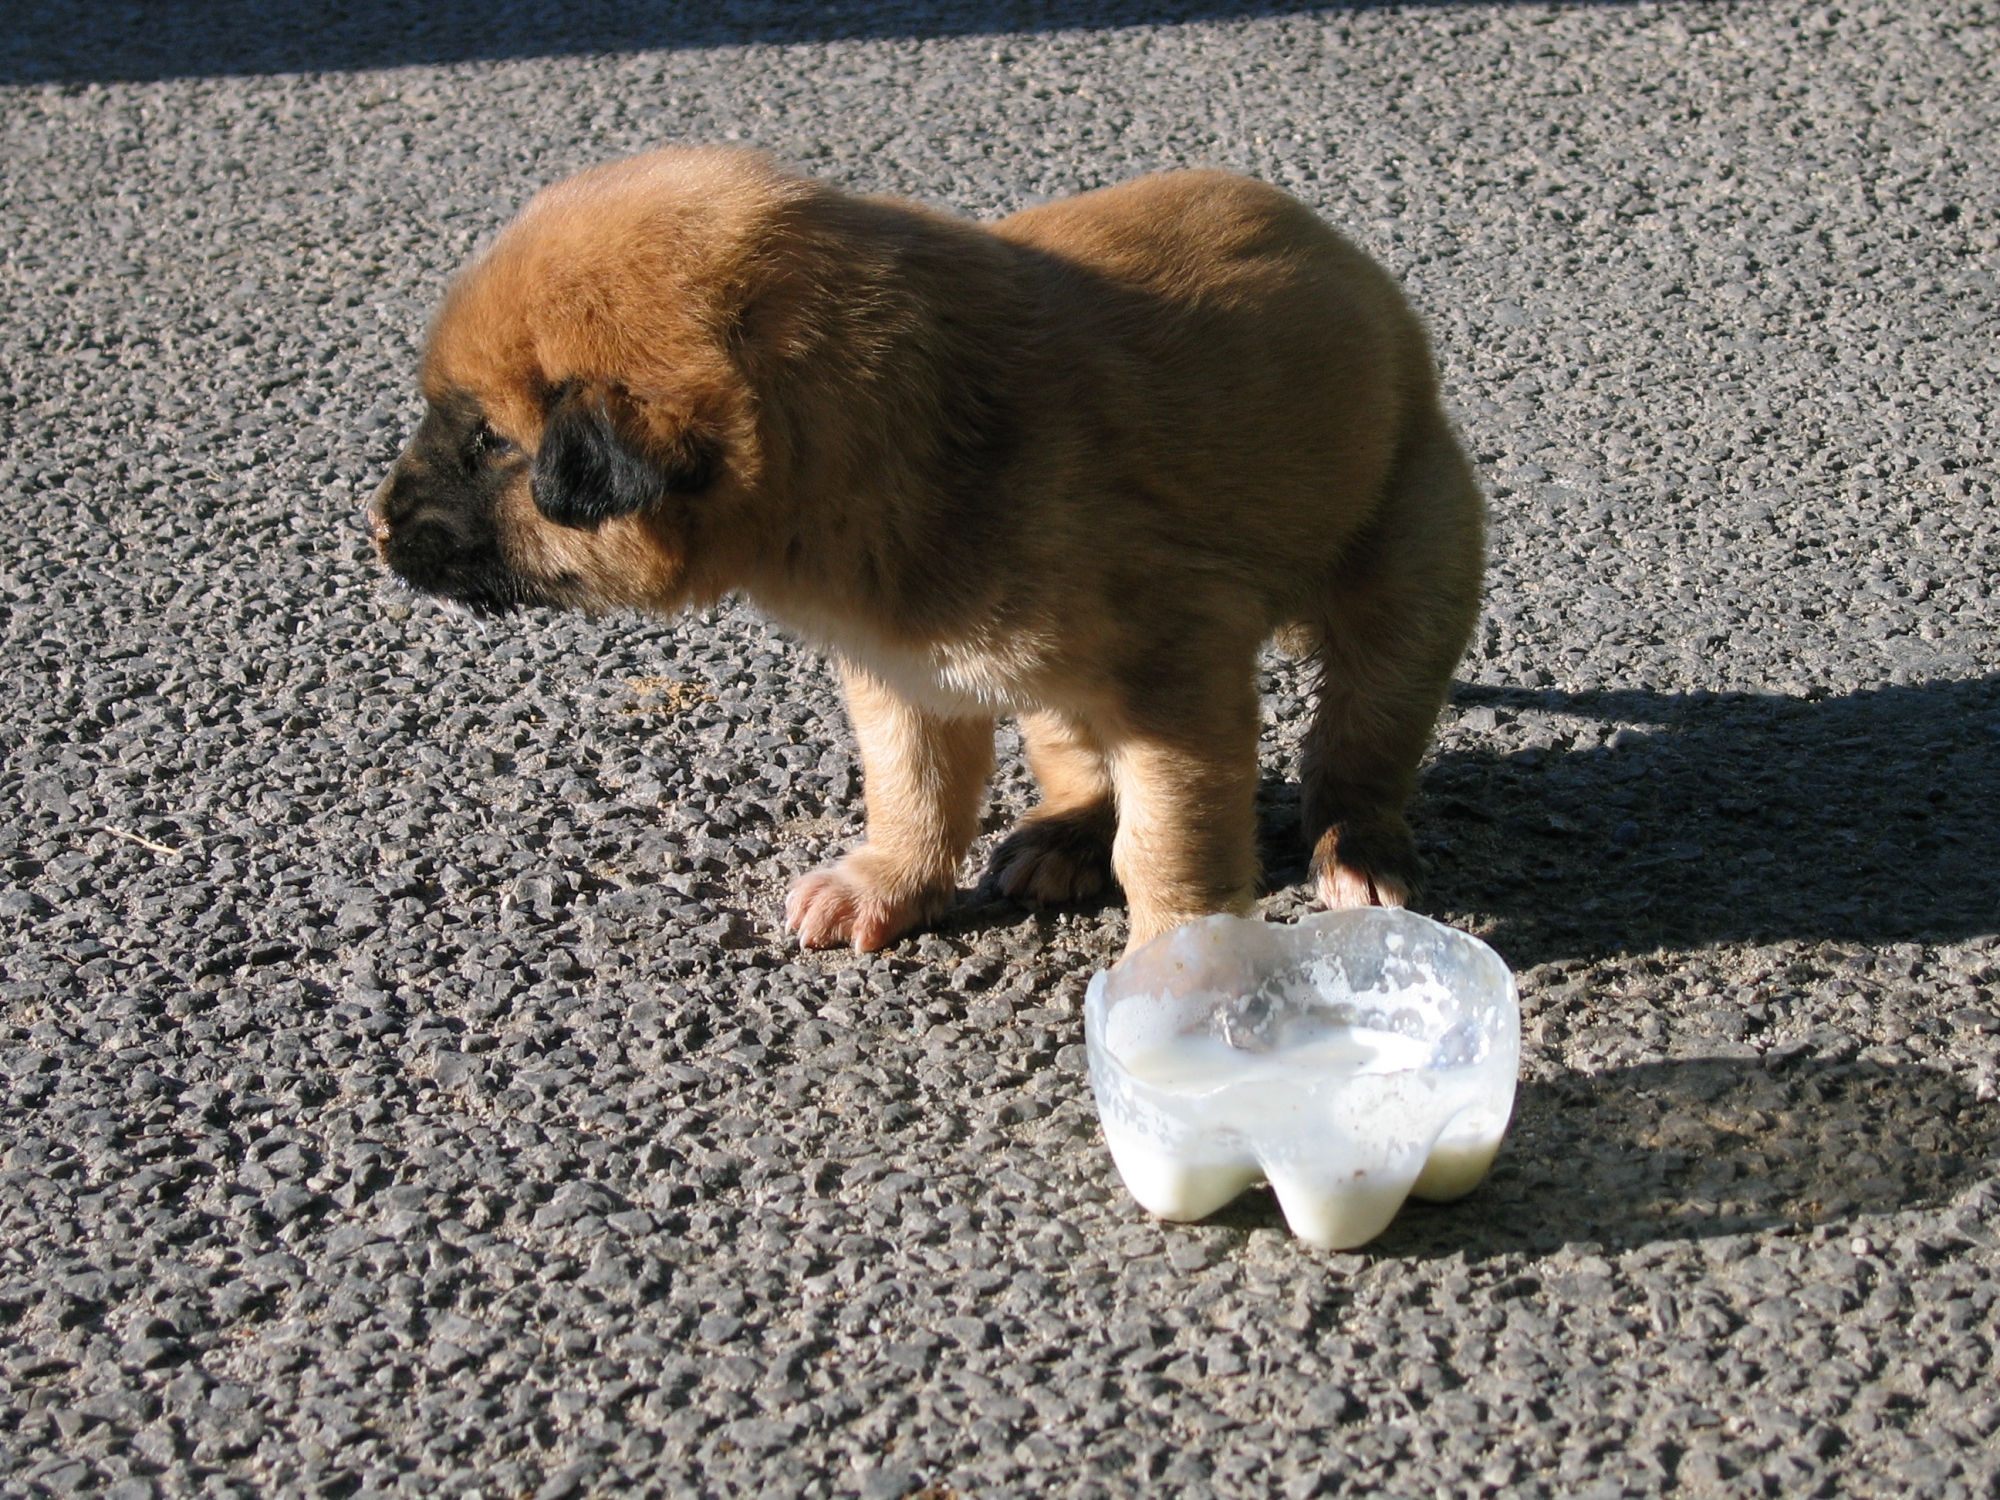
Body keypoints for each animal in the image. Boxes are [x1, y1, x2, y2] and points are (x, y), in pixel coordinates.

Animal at [372, 147, 1488, 956]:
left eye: (487, 443)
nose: (377, 530)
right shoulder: (901, 674)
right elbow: (912, 790)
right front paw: (890, 884)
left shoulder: (1179, 681)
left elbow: (1172, 839)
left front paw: (1183, 968)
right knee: (1075, 759)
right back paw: (1062, 837)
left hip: (1407, 580)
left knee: (1360, 742)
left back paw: (1357, 848)